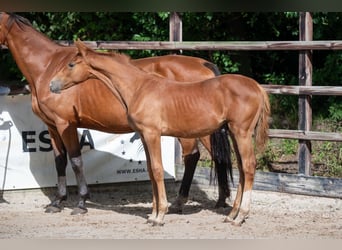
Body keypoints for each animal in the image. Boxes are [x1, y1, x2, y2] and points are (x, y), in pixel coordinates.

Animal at [0, 12, 231, 213]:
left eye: (71, 65)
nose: (53, 86)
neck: (46, 66)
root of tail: (204, 64)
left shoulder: (66, 124)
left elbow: (75, 161)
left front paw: (81, 203)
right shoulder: (52, 126)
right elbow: (59, 162)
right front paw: (57, 202)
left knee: (193, 157)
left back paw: (180, 203)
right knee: (217, 156)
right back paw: (220, 201)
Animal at [50, 41, 270, 227]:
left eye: (71, 64)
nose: (52, 85)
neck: (139, 88)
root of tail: (257, 87)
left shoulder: (152, 134)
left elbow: (157, 170)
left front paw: (160, 216)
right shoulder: (144, 135)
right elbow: (150, 170)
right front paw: (153, 214)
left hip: (241, 132)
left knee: (249, 166)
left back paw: (240, 216)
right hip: (233, 132)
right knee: (241, 167)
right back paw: (231, 215)